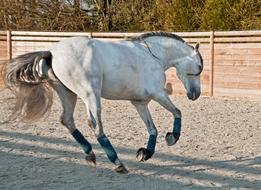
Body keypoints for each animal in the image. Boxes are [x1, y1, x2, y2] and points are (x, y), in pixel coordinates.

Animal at [3, 31, 203, 174]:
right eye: (199, 67)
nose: (195, 94)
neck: (153, 55)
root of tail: (52, 52)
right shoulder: (159, 94)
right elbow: (177, 112)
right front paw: (172, 137)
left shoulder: (140, 103)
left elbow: (152, 129)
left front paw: (146, 153)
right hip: (90, 94)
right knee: (96, 126)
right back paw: (117, 163)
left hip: (68, 94)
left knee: (67, 120)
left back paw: (90, 155)